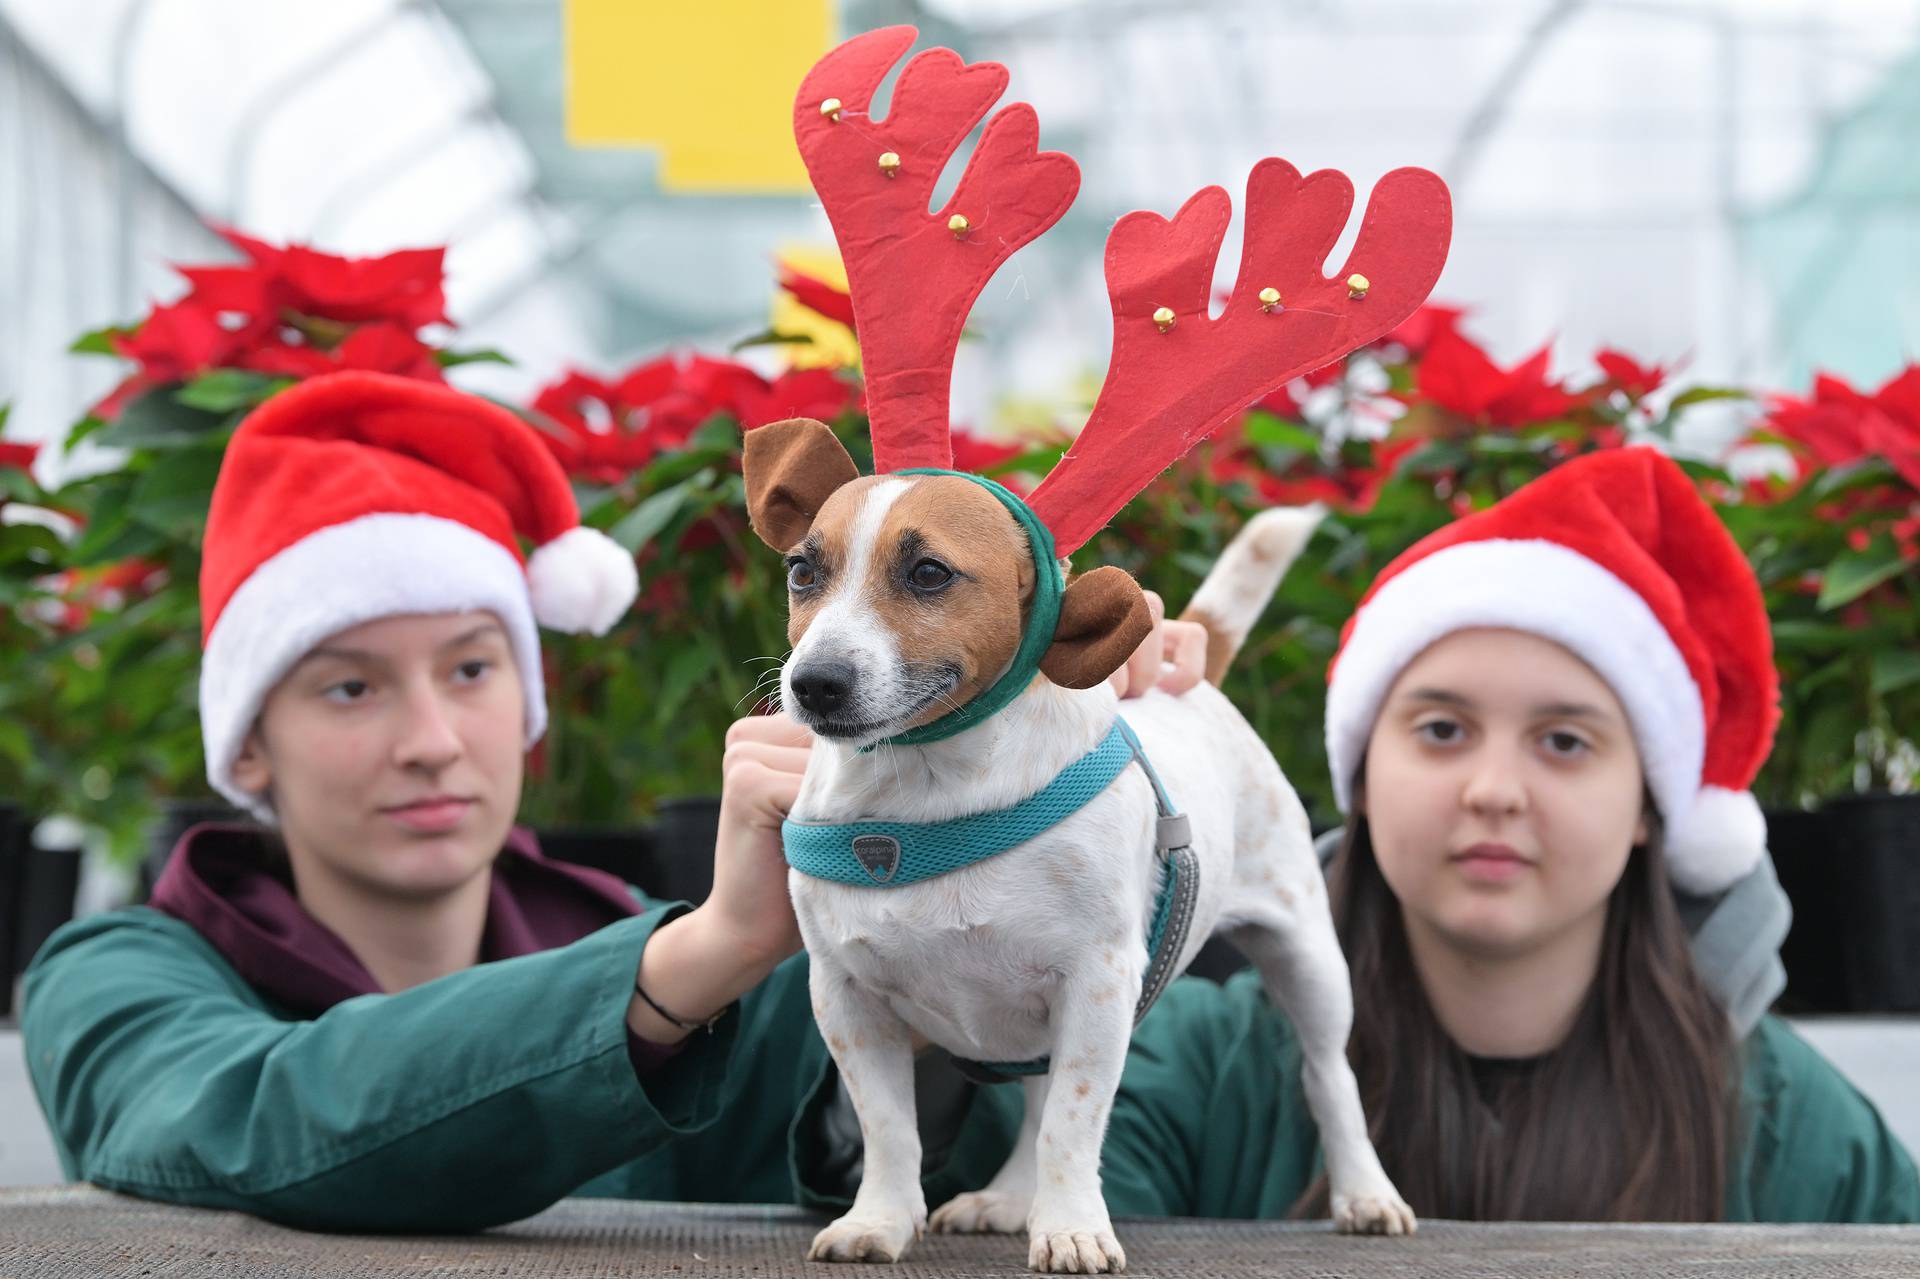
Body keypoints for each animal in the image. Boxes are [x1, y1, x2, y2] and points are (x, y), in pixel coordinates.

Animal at [756, 24, 1443, 1267]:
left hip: (1307, 959)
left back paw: (1365, 1191)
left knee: (1329, 1078)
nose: (815, 684)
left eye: (928, 573)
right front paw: (883, 1217)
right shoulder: (850, 999)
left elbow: (1082, 1120)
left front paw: (1072, 1225)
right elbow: (891, 1128)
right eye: (803, 570)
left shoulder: (1099, 987)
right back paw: (1003, 1194)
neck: (929, 793)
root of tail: (1197, 676)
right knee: (1028, 1107)